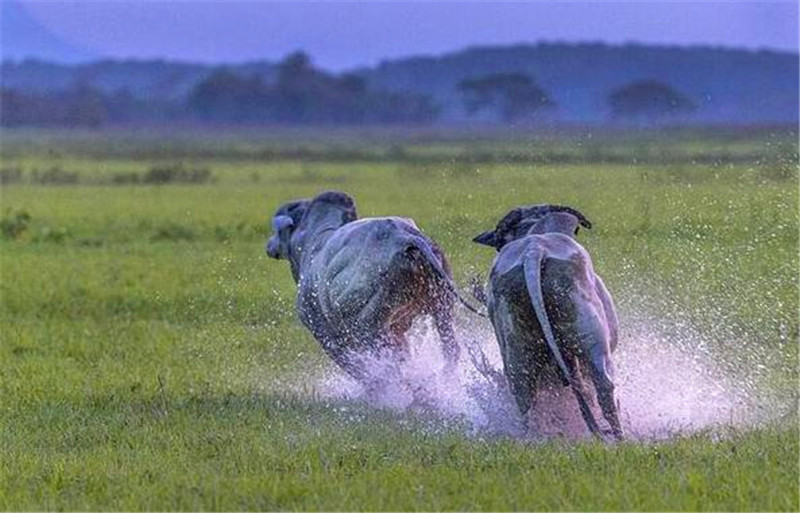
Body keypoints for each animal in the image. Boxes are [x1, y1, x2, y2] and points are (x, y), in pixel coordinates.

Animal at [472, 204, 620, 440]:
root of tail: (533, 250)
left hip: (517, 351)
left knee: (524, 396)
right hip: (592, 341)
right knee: (603, 386)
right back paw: (619, 437)